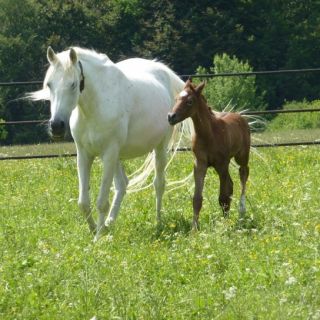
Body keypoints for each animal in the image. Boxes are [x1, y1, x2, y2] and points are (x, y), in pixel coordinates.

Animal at [30, 45, 190, 240]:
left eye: (73, 84)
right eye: (49, 84)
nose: (57, 126)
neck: (94, 107)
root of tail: (161, 70)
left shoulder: (108, 153)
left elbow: (101, 202)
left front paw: (98, 238)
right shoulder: (84, 155)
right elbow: (83, 202)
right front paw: (94, 230)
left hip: (158, 148)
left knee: (159, 184)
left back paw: (158, 222)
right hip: (117, 157)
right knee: (122, 184)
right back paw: (109, 224)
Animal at [168, 80, 250, 230]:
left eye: (189, 101)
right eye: (176, 99)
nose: (171, 117)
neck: (209, 134)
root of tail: (240, 116)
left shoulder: (222, 164)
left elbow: (223, 197)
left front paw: (225, 226)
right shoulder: (200, 164)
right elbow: (197, 198)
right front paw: (194, 228)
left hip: (241, 156)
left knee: (243, 173)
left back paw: (242, 210)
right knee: (231, 184)